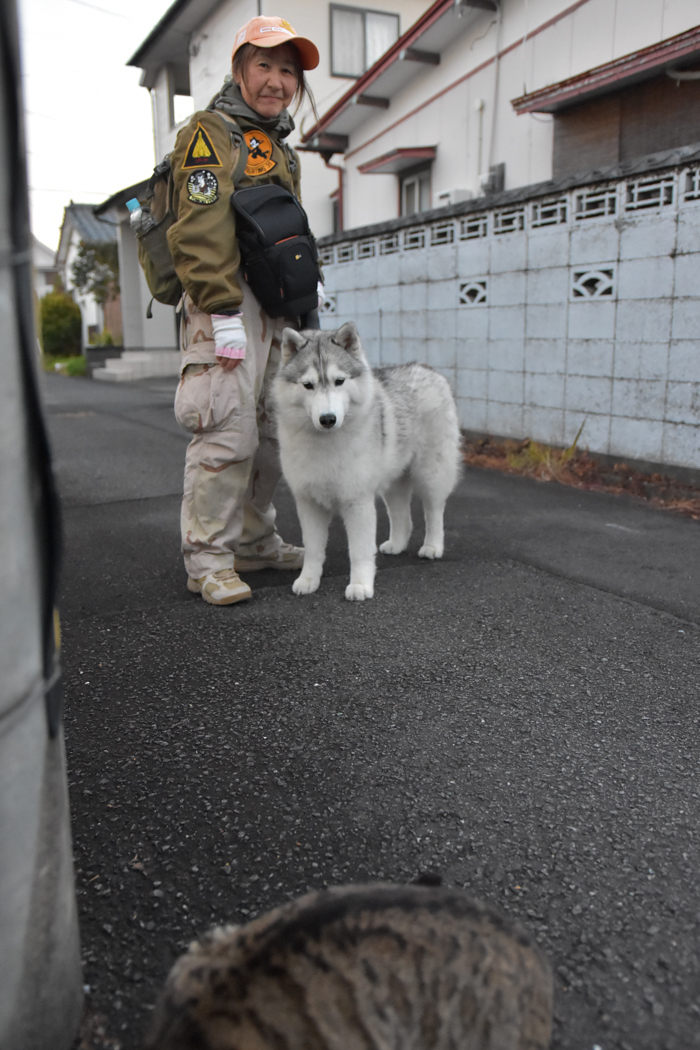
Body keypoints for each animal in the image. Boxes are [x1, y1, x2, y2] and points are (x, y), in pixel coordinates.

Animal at [270, 319, 461, 604]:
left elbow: (359, 551)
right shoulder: (308, 504)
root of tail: (427, 369)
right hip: (393, 481)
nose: (328, 419)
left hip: (432, 474)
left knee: (434, 512)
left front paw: (360, 584)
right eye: (308, 385)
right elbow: (314, 550)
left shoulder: (357, 502)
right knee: (402, 516)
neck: (326, 443)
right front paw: (308, 579)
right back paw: (397, 544)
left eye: (339, 381)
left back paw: (432, 546)